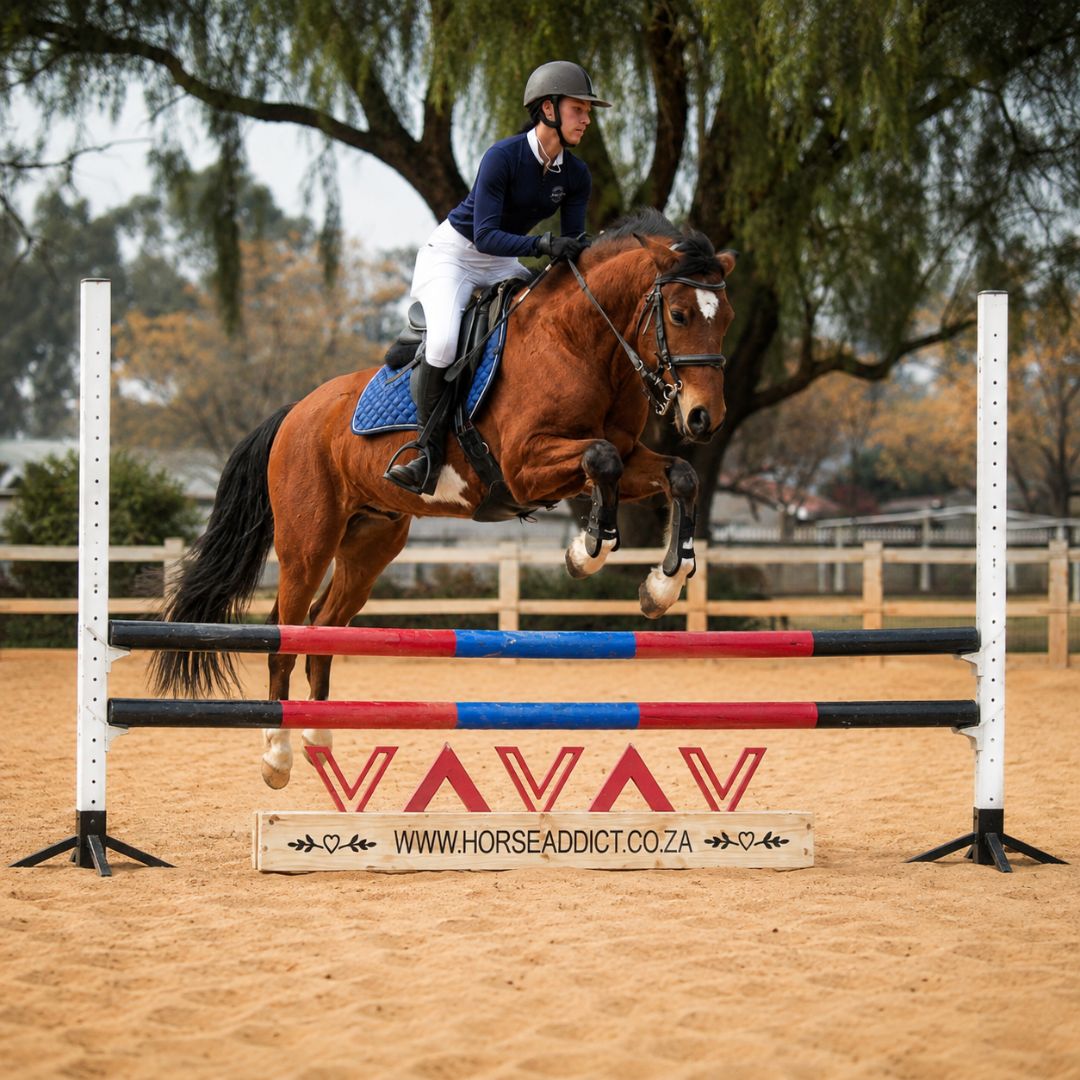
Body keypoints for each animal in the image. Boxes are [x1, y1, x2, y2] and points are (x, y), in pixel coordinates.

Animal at [150, 208, 736, 788]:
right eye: (680, 314)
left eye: (725, 317)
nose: (703, 418)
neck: (582, 342)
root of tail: (297, 411)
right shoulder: (526, 467)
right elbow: (601, 461)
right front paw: (585, 551)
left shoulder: (629, 456)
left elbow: (679, 475)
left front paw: (663, 583)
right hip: (307, 544)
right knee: (285, 632)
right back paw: (277, 754)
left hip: (371, 544)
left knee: (324, 621)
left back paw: (318, 735)